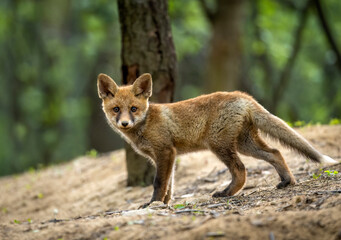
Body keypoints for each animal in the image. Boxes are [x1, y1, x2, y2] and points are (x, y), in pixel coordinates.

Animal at [97, 72, 336, 207]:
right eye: (116, 109)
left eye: (133, 109)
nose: (124, 123)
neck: (146, 123)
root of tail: (243, 96)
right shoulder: (166, 157)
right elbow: (170, 186)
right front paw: (163, 204)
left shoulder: (165, 152)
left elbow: (159, 183)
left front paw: (152, 204)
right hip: (245, 144)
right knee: (275, 153)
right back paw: (287, 181)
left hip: (220, 145)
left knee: (241, 170)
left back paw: (226, 193)